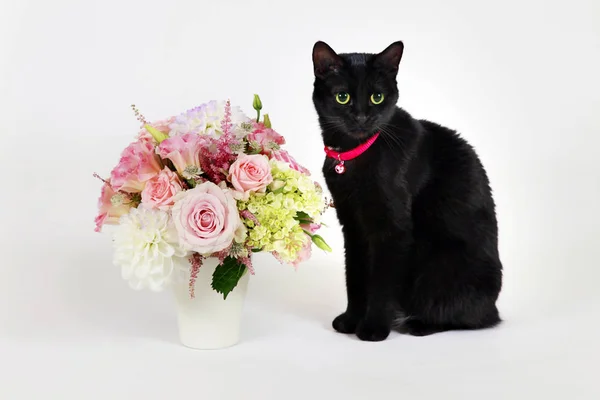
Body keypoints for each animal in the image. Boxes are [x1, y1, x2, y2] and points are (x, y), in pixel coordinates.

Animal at [312, 39, 504, 340]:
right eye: (342, 97)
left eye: (377, 97)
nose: (362, 117)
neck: (354, 156)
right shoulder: (352, 226)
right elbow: (354, 276)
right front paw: (351, 320)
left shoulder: (393, 228)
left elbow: (381, 282)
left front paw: (373, 328)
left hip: (437, 267)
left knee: (467, 316)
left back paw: (418, 324)